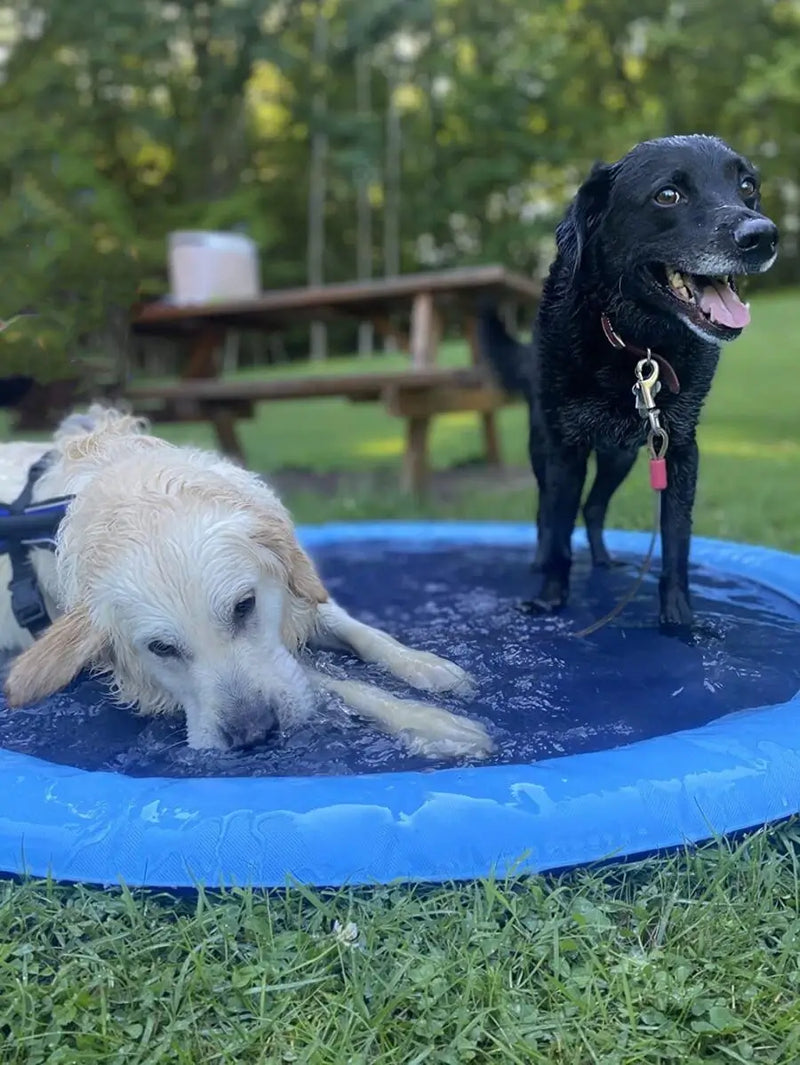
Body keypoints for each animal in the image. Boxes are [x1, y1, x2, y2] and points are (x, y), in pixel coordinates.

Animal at [0, 402, 492, 762]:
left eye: (244, 606)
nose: (253, 733)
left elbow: (363, 633)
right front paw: (431, 723)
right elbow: (334, 683)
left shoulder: (296, 593)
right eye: (161, 648)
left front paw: (425, 667)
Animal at [479, 135, 779, 630]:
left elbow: (676, 542)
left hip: (620, 456)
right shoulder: (566, 449)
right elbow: (558, 531)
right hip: (544, 444)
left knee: (594, 506)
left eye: (747, 186)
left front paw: (679, 620)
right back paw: (541, 564)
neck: (639, 346)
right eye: (668, 195)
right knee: (546, 512)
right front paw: (550, 601)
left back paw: (603, 559)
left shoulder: (680, 449)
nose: (763, 236)